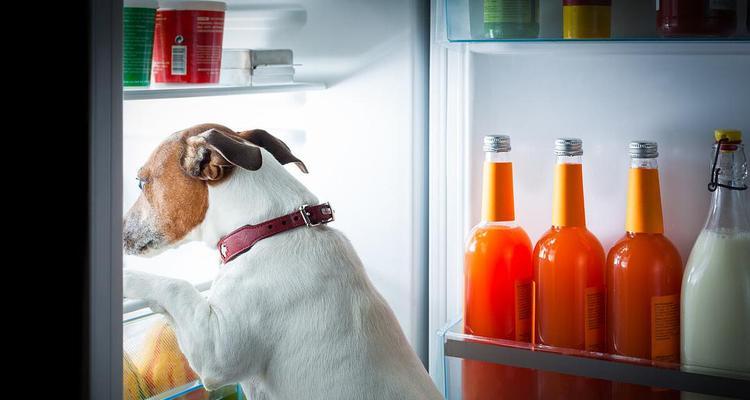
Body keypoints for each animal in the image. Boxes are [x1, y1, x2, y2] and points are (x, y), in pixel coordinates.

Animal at [123, 122, 446, 400]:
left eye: (140, 183)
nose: (121, 227)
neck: (268, 229)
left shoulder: (216, 352)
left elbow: (176, 286)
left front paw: (127, 277)